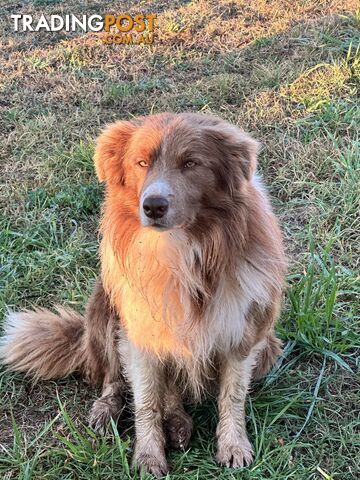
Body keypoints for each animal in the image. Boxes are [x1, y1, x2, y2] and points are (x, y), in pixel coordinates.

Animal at [0, 112, 286, 476]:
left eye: (190, 163)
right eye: (141, 163)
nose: (152, 206)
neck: (180, 247)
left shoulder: (242, 331)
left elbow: (231, 396)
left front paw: (234, 446)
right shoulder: (140, 333)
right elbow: (147, 399)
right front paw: (148, 456)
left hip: (269, 347)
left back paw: (178, 425)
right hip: (105, 309)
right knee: (115, 379)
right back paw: (111, 411)